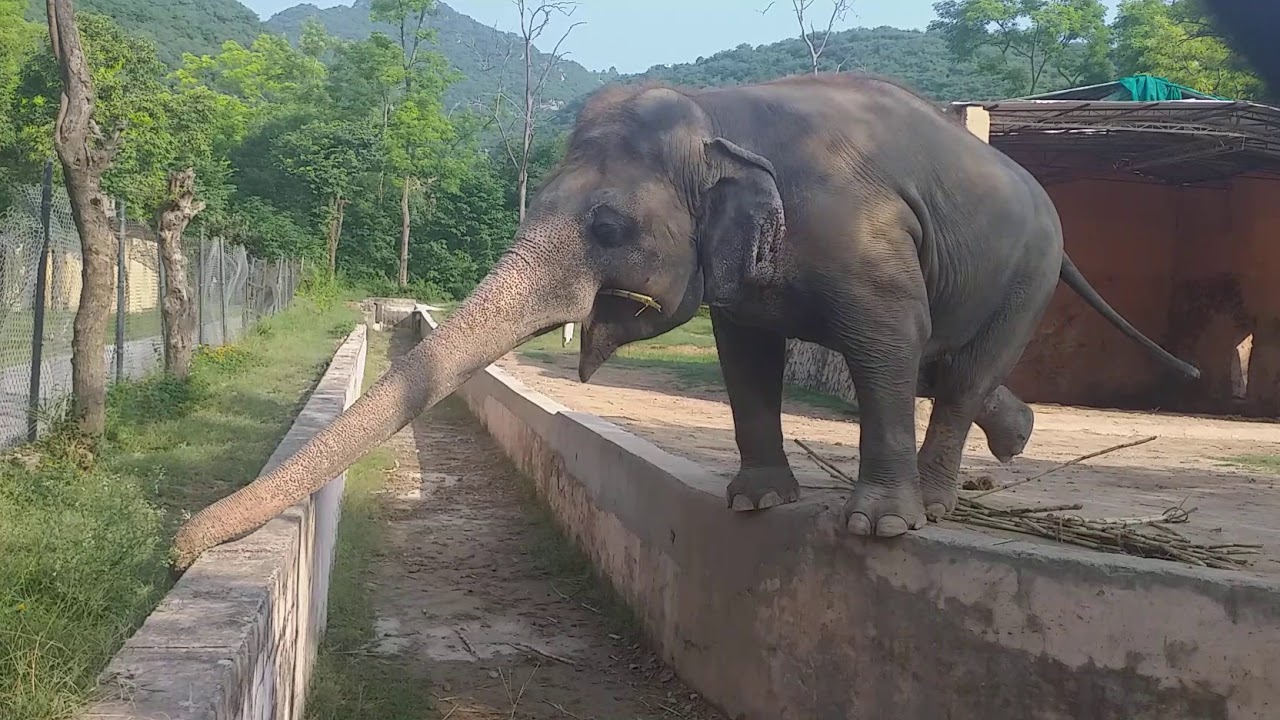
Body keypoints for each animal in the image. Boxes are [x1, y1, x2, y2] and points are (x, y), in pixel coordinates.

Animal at [170, 72, 1200, 569]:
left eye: (607, 226)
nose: (176, 545)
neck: (720, 120)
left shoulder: (857, 236)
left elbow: (882, 343)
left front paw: (873, 529)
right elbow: (747, 352)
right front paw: (753, 503)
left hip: (1028, 269)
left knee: (950, 369)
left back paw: (935, 506)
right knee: (952, 369)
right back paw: (1014, 436)